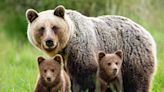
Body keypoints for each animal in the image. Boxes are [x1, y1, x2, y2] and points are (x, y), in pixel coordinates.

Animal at [25, 5, 156, 92]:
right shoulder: (65, 59)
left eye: (54, 27)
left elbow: (84, 75)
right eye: (41, 28)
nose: (49, 41)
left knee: (137, 81)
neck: (66, 45)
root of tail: (145, 31)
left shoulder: (81, 49)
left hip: (133, 54)